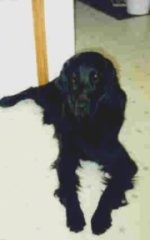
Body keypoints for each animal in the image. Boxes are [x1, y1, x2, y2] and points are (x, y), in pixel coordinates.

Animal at [0, 52, 138, 234]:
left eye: (96, 77)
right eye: (74, 78)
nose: (81, 105)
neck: (87, 123)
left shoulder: (124, 163)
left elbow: (109, 192)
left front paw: (100, 219)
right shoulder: (67, 157)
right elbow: (70, 189)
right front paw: (75, 217)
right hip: (49, 94)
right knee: (31, 89)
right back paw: (7, 100)